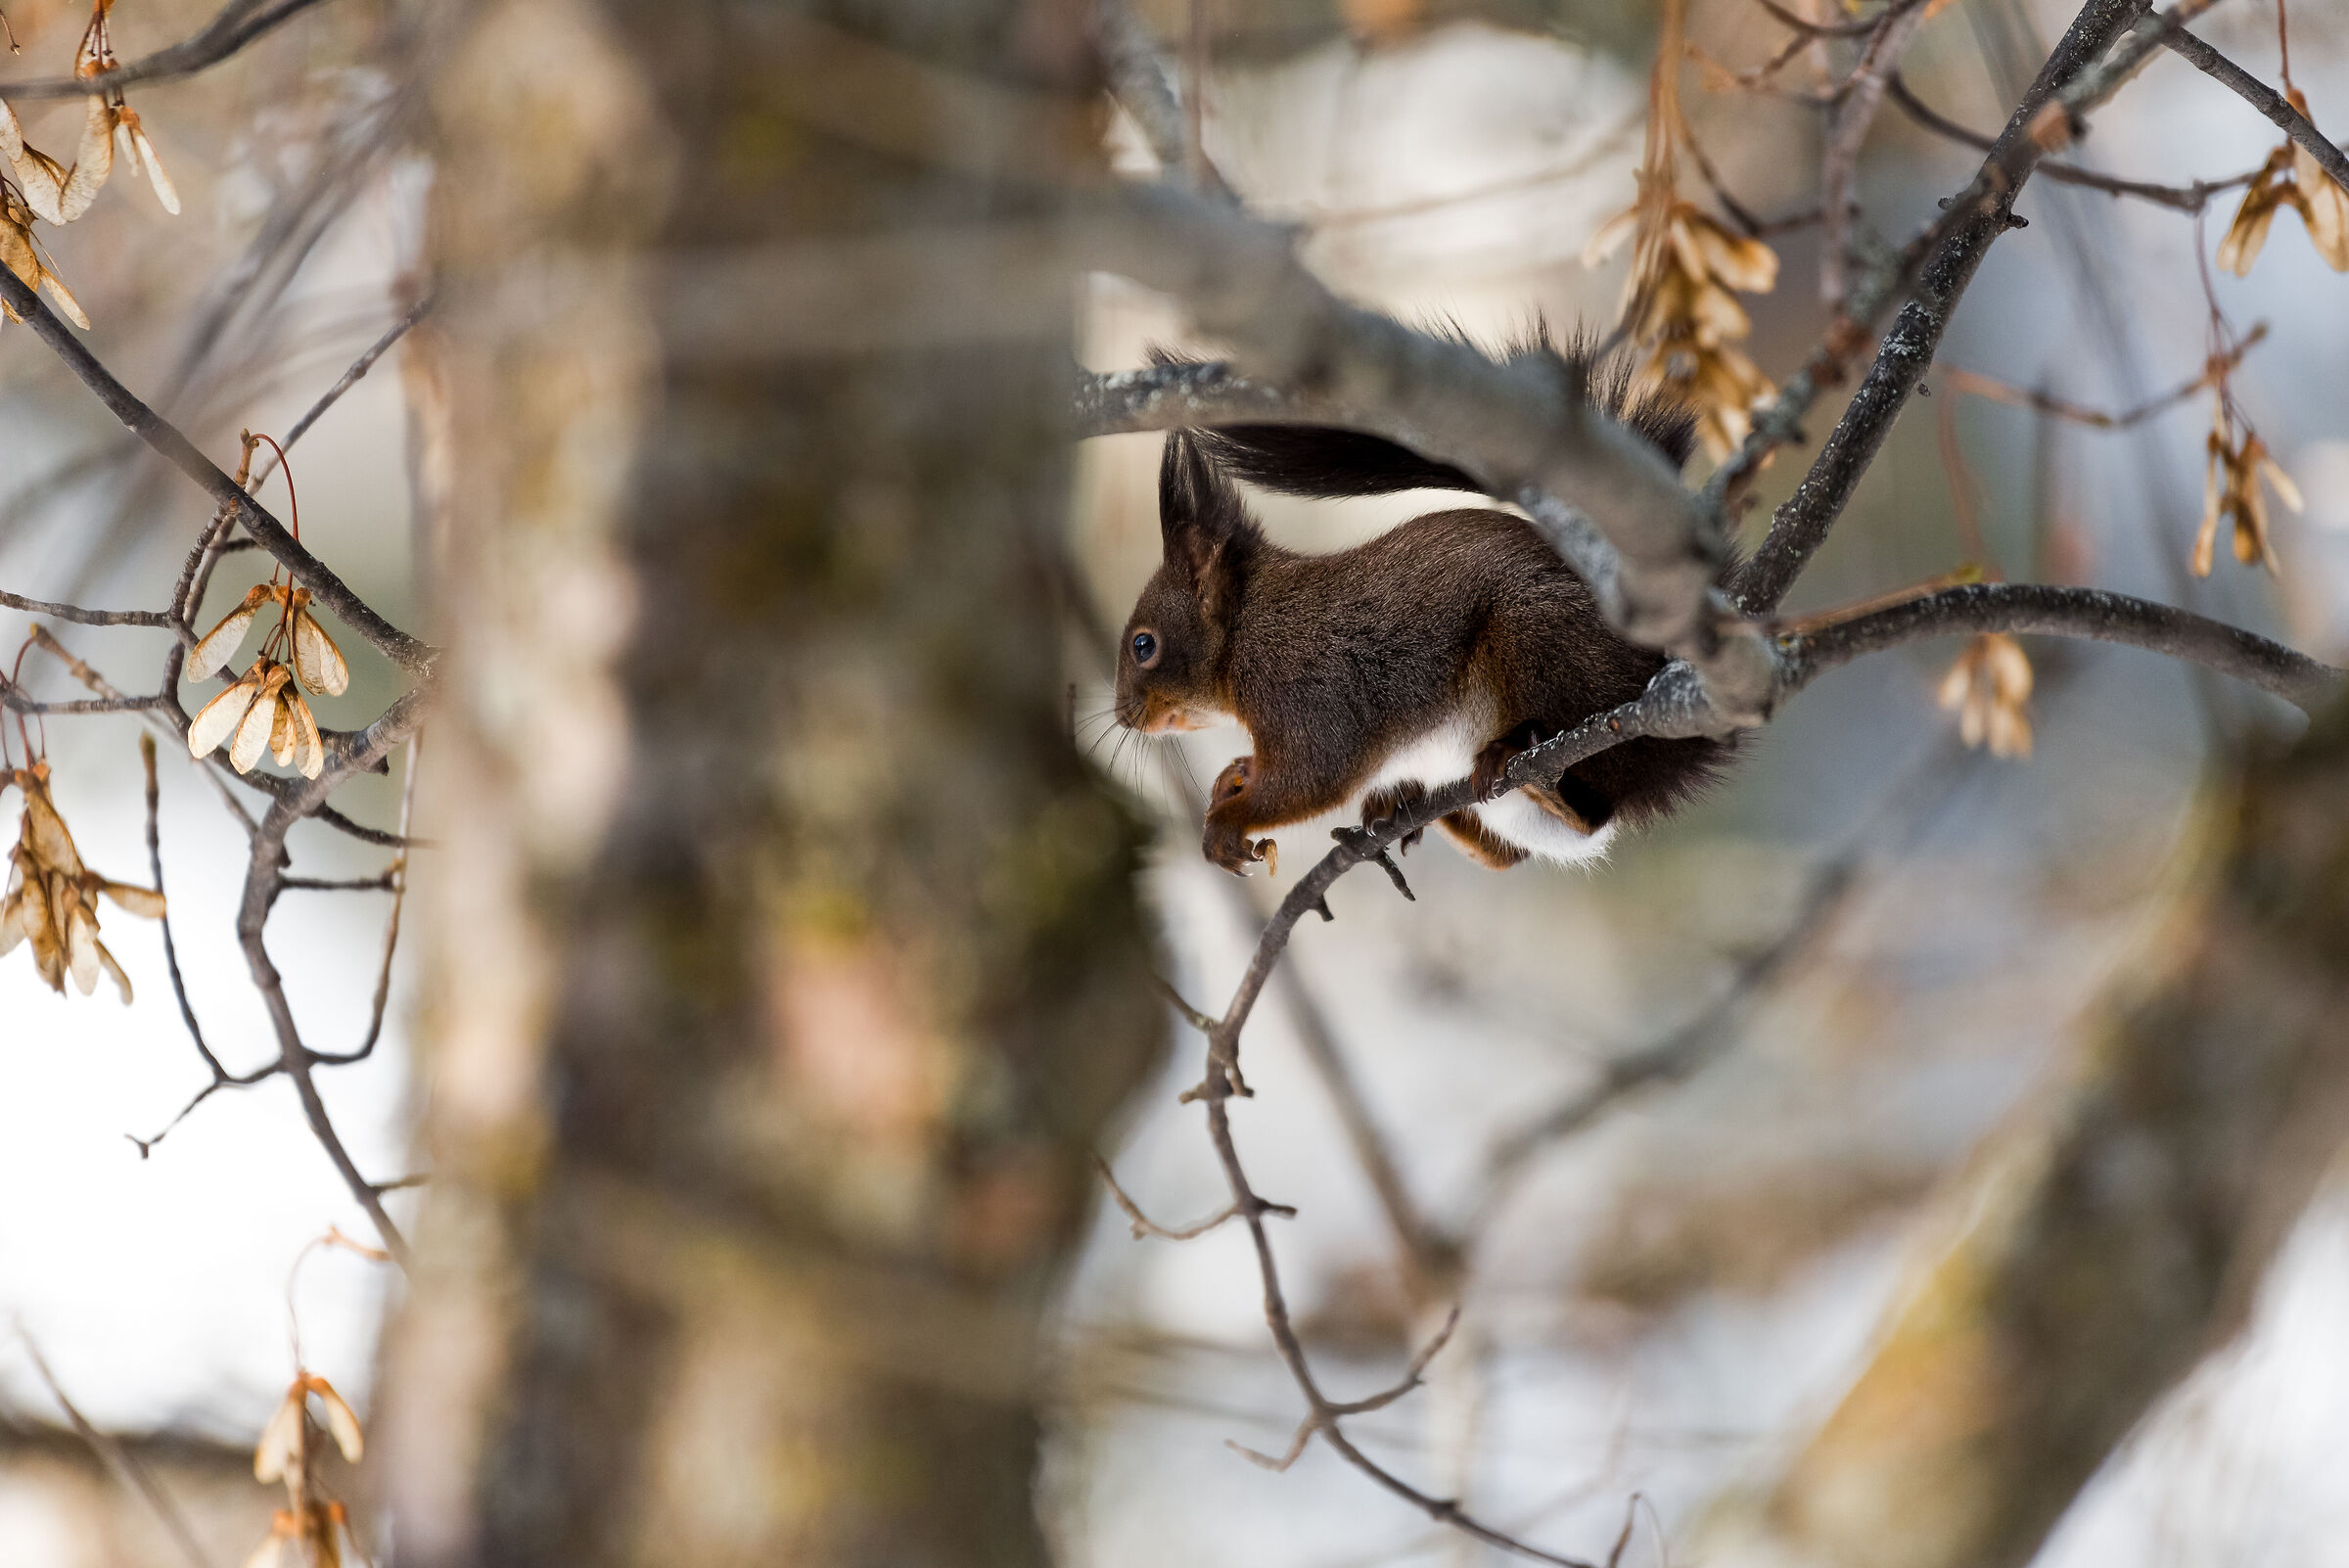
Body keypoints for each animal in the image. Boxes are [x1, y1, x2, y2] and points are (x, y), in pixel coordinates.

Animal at [1111, 333, 1737, 877]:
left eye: (1144, 645)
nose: (1122, 717)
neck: (1249, 630)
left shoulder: (1307, 691)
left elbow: (1314, 778)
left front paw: (1227, 820)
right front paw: (1238, 772)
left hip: (1540, 644)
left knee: (1593, 809)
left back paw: (1519, 760)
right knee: (1516, 853)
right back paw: (1411, 802)